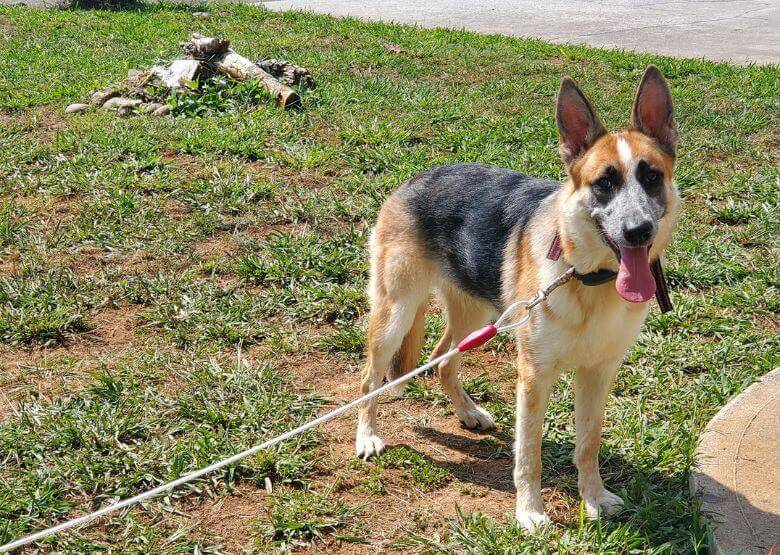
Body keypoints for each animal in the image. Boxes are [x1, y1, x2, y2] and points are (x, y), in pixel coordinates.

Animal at [356, 66, 680, 528]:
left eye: (651, 176)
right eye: (605, 183)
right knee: (369, 379)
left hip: (476, 316)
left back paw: (468, 412)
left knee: (443, 359)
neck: (587, 277)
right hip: (394, 314)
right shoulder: (533, 378)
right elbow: (529, 455)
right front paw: (529, 513)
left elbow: (588, 443)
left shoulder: (598, 373)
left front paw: (594, 497)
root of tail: (417, 177)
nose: (639, 231)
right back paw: (367, 436)